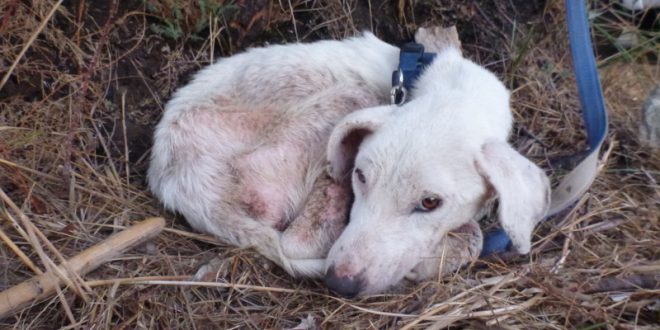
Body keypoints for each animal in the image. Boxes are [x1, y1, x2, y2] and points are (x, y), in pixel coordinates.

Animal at [148, 26, 552, 296]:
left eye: (430, 202)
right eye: (360, 176)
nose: (339, 283)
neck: (448, 88)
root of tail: (174, 177)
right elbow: (473, 237)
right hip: (340, 104)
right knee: (301, 242)